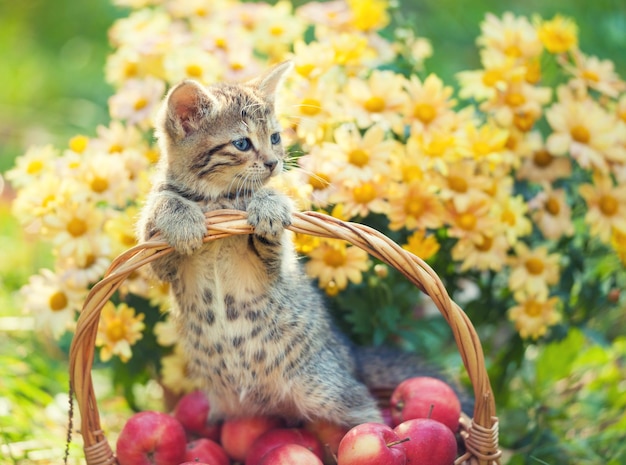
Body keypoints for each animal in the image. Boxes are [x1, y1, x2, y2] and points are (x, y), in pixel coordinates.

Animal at [137, 62, 448, 428]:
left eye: (275, 137)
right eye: (241, 143)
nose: (275, 162)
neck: (217, 200)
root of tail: (350, 353)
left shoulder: (272, 266)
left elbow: (273, 231)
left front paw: (269, 204)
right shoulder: (162, 264)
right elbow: (159, 207)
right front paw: (182, 219)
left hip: (329, 390)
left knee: (368, 414)